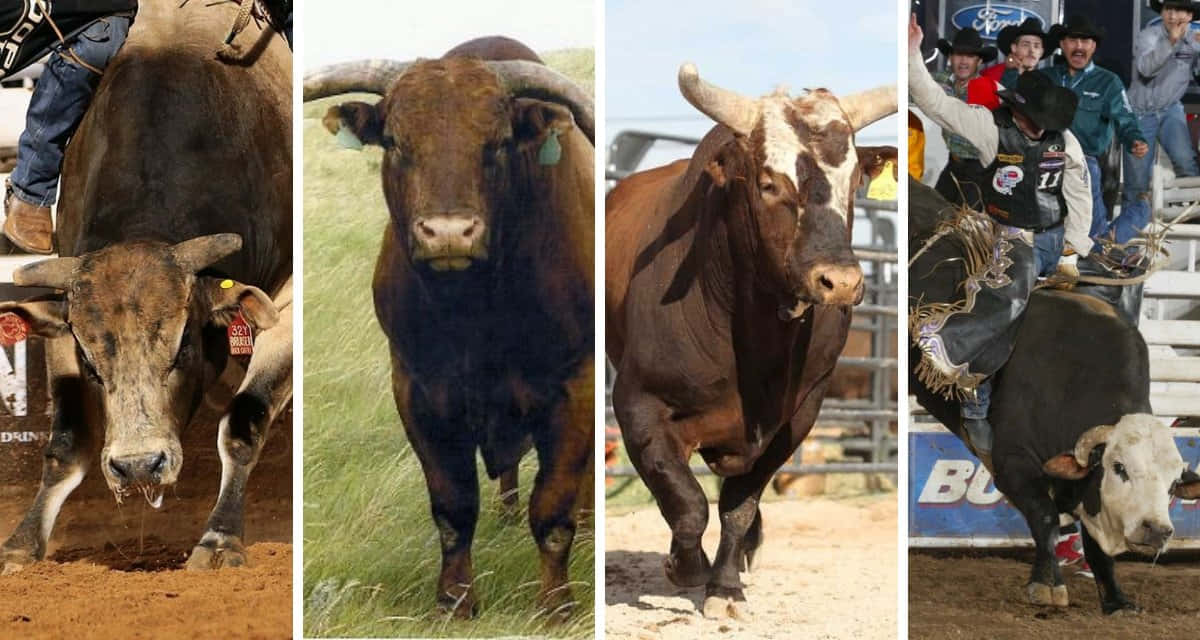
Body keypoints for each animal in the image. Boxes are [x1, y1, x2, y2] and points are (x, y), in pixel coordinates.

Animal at [0, 0, 292, 573]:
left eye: (181, 347)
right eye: (92, 365)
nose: (138, 467)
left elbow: (245, 423)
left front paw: (219, 540)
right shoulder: (63, 320)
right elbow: (67, 444)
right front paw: (22, 546)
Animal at [304, 36, 594, 620]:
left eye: (499, 143)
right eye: (394, 142)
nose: (449, 234)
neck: (476, 314)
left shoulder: (576, 387)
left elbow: (554, 509)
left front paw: (556, 605)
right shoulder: (417, 390)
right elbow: (453, 507)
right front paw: (455, 600)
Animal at [606, 62, 895, 620]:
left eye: (855, 180)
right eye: (768, 183)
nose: (841, 281)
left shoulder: (797, 417)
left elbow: (739, 505)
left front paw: (724, 586)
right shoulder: (637, 406)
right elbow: (686, 501)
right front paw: (686, 566)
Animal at [908, 178, 1200, 613]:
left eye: (1172, 482)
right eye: (1119, 468)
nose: (1157, 530)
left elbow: (1095, 547)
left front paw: (1116, 599)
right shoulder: (1012, 461)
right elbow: (1045, 518)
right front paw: (1046, 585)